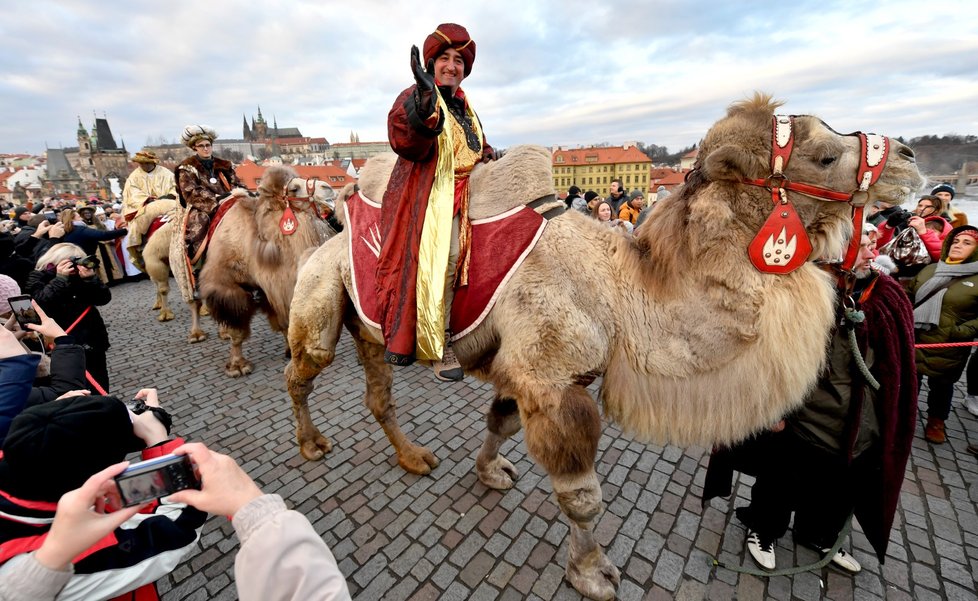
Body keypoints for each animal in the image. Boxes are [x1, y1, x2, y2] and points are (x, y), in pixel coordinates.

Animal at [198, 165, 336, 376]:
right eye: (294, 189)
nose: (328, 188)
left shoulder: (276, 285)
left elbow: (284, 320)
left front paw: (291, 352)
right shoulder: (229, 287)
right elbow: (237, 329)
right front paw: (238, 366)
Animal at [284, 96, 924, 596]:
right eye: (824, 155)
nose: (909, 157)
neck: (621, 293)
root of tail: (329, 232)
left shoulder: (540, 373)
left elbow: (500, 422)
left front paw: (490, 473)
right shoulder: (550, 381)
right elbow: (583, 498)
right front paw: (592, 572)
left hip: (369, 326)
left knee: (378, 393)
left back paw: (413, 456)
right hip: (319, 291)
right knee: (304, 368)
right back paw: (312, 444)